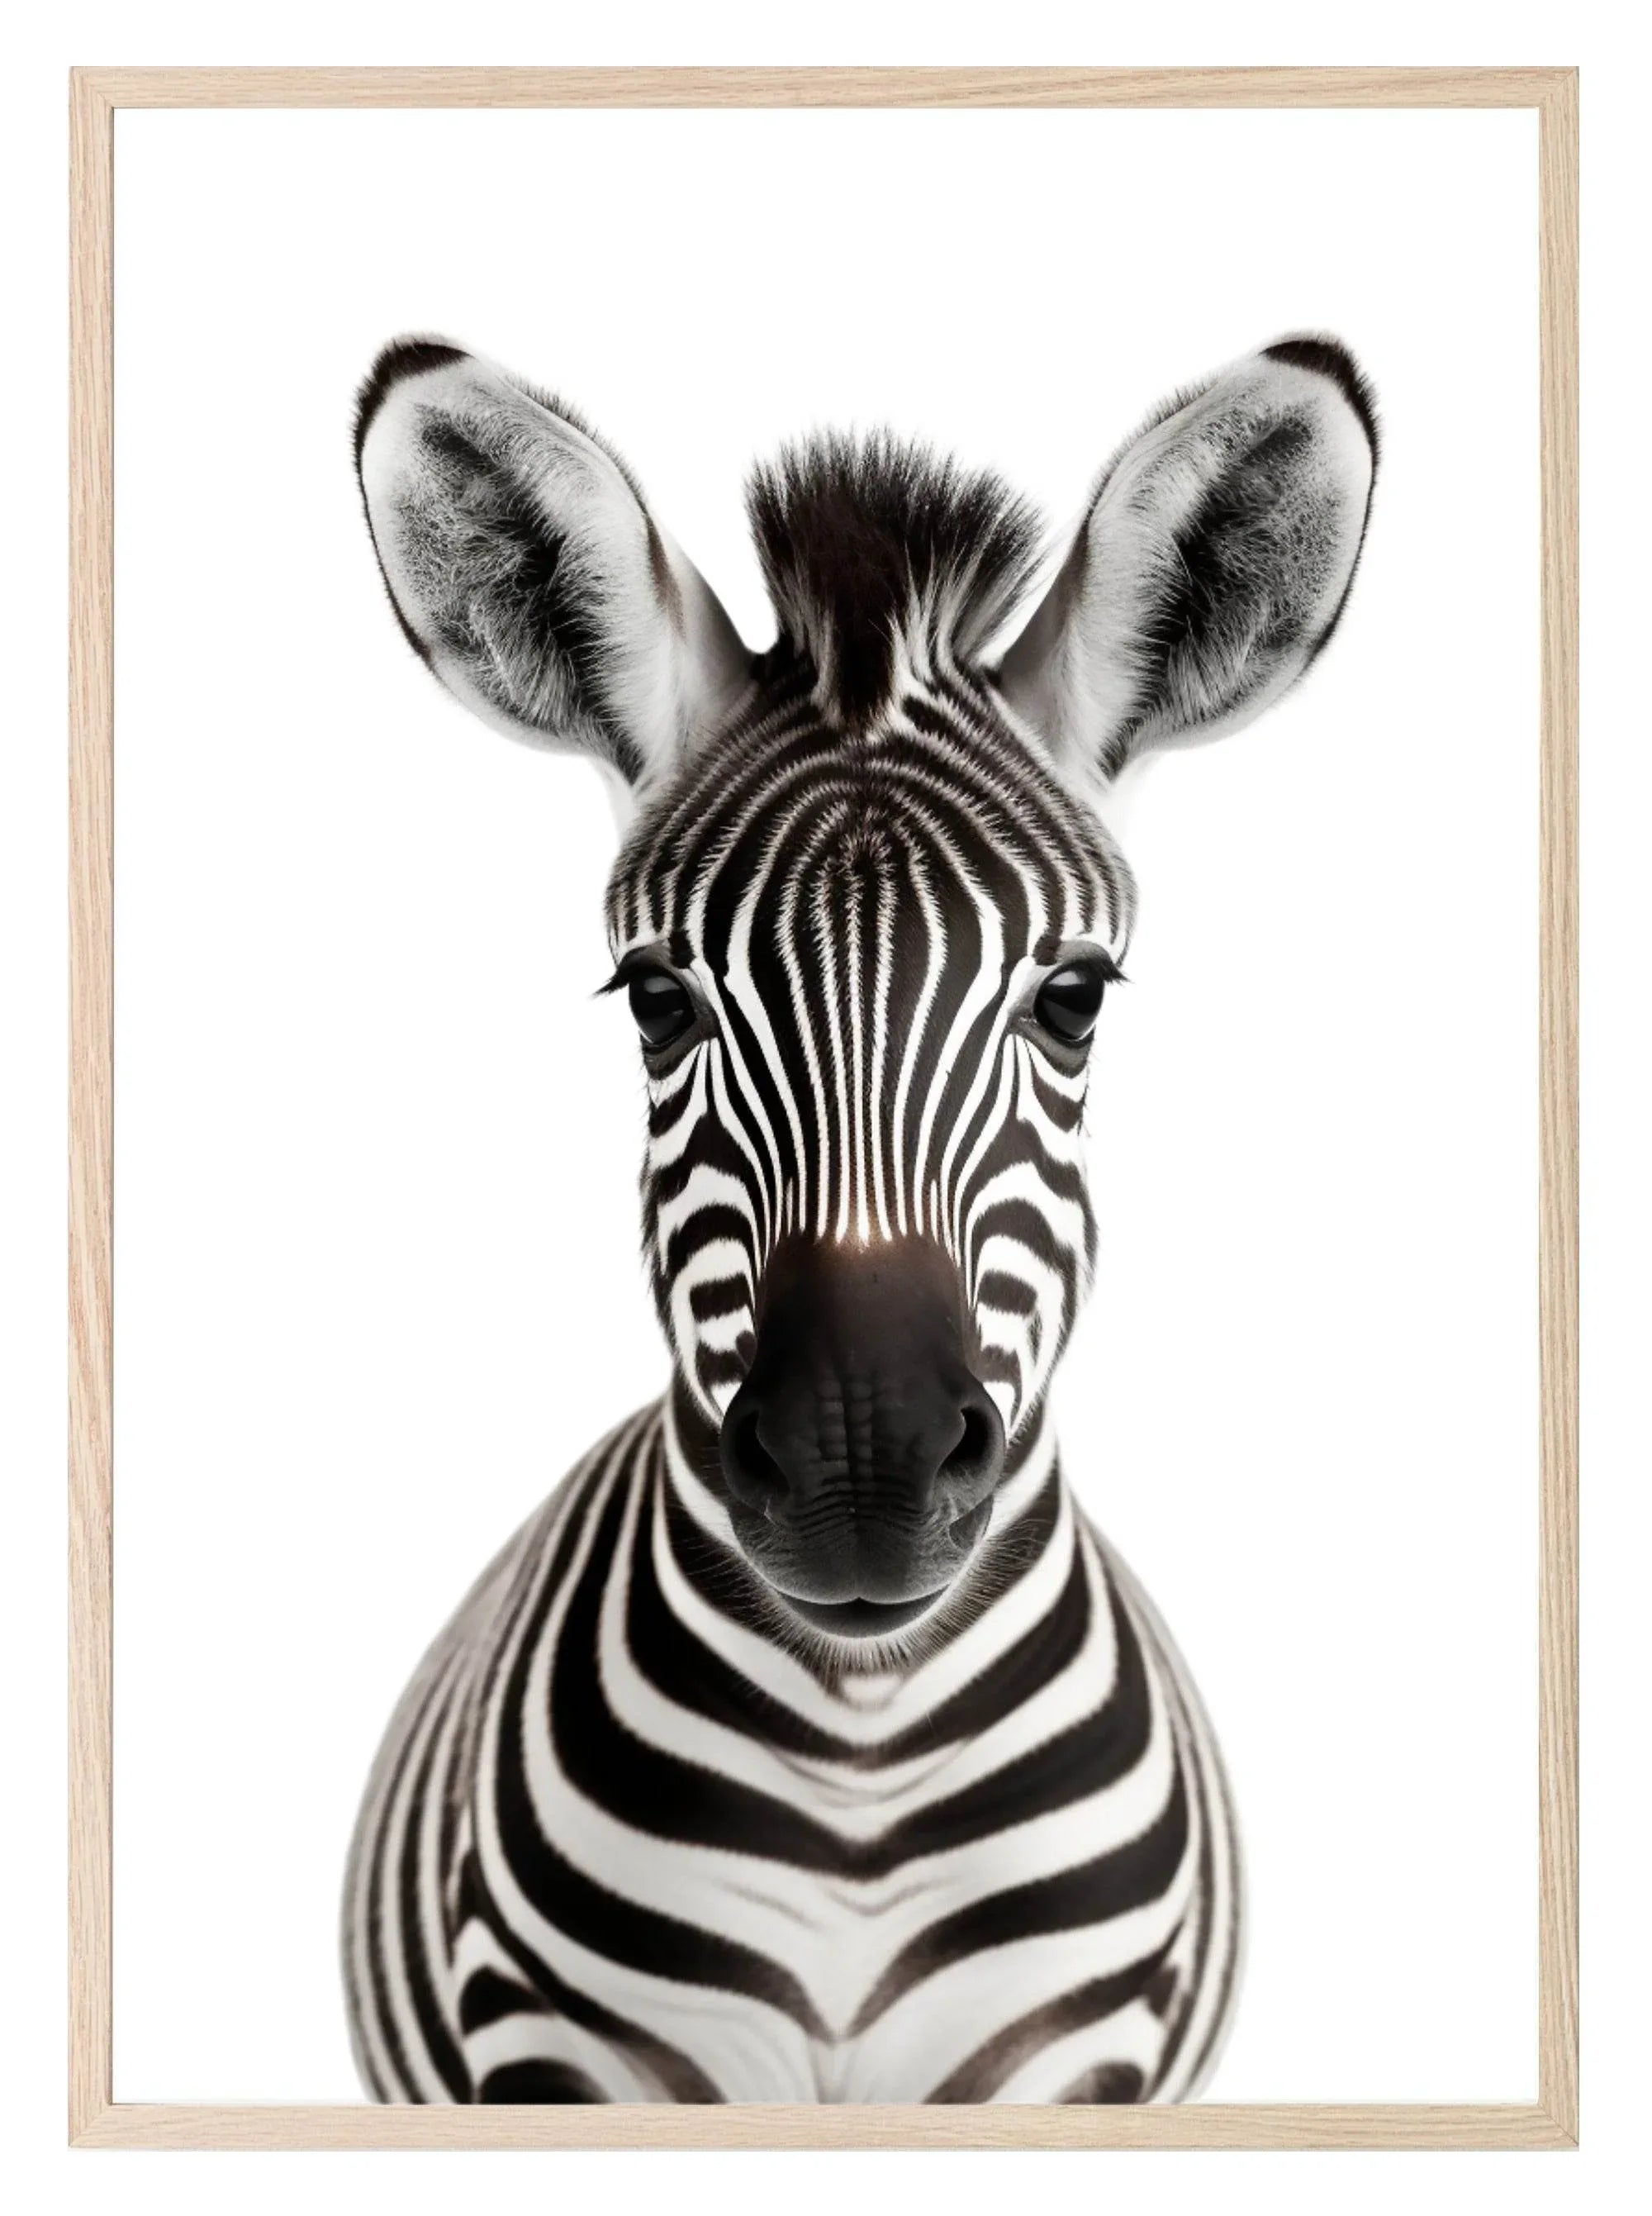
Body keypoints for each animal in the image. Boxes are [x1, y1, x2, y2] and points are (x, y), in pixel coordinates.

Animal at [344, 332, 1377, 2105]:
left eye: (1075, 998)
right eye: (659, 1002)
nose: (859, 1477)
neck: (860, 1753)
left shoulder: (1066, 2055)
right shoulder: (563, 2052)